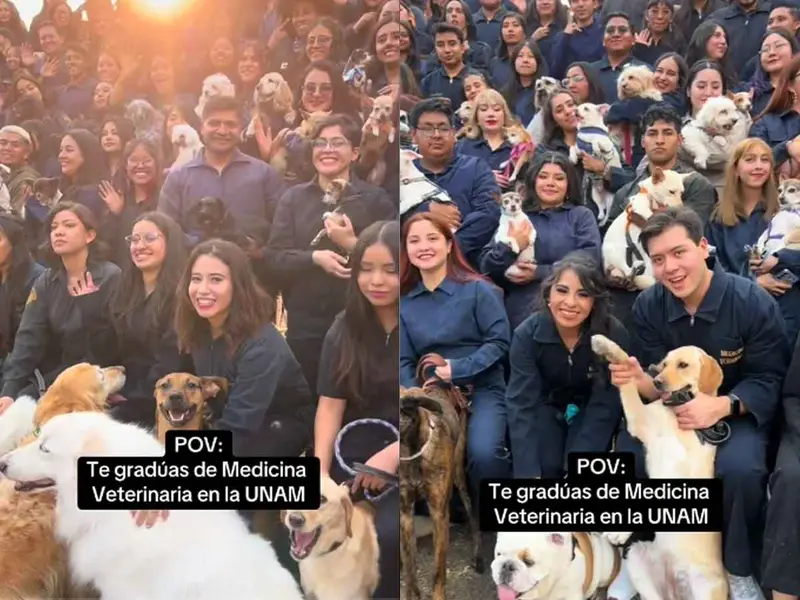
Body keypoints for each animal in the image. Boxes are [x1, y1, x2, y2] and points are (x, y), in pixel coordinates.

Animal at [400, 354, 482, 596]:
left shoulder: (438, 512)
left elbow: (438, 571)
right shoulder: (405, 514)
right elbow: (410, 572)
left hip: (458, 474)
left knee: (471, 512)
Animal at [588, 338, 732, 600]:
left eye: (683, 365)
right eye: (664, 364)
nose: (656, 381)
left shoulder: (640, 420)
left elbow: (625, 363)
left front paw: (606, 345)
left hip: (707, 590)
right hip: (637, 562)